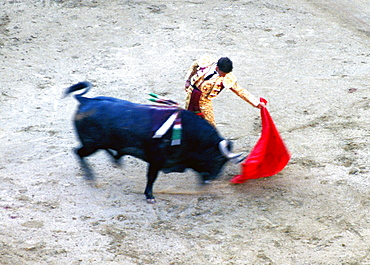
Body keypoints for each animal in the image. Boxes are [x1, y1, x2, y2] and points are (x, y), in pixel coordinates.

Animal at [65, 81, 241, 203]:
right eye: (218, 159)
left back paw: (116, 160)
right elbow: (151, 177)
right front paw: (149, 196)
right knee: (78, 152)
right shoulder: (156, 160)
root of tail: (84, 100)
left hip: (96, 144)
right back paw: (90, 176)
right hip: (91, 144)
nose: (212, 179)